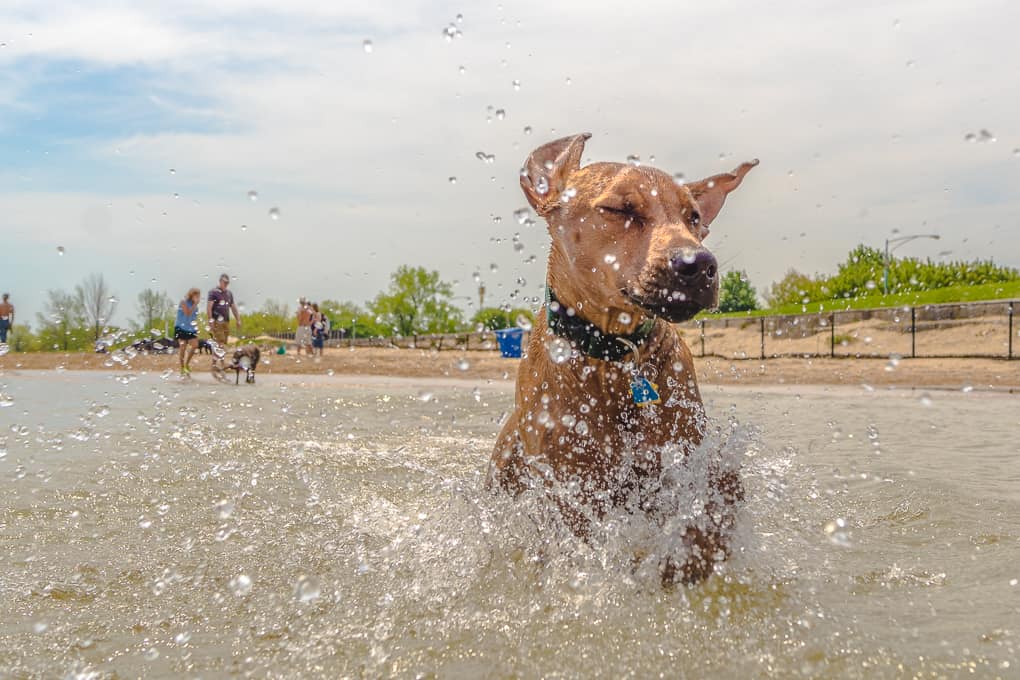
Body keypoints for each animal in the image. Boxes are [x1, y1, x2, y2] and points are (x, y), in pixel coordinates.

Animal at [489, 132, 762, 587]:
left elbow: (714, 496)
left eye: (693, 217)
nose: (700, 263)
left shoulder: (682, 453)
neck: (615, 356)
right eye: (620, 209)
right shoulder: (572, 486)